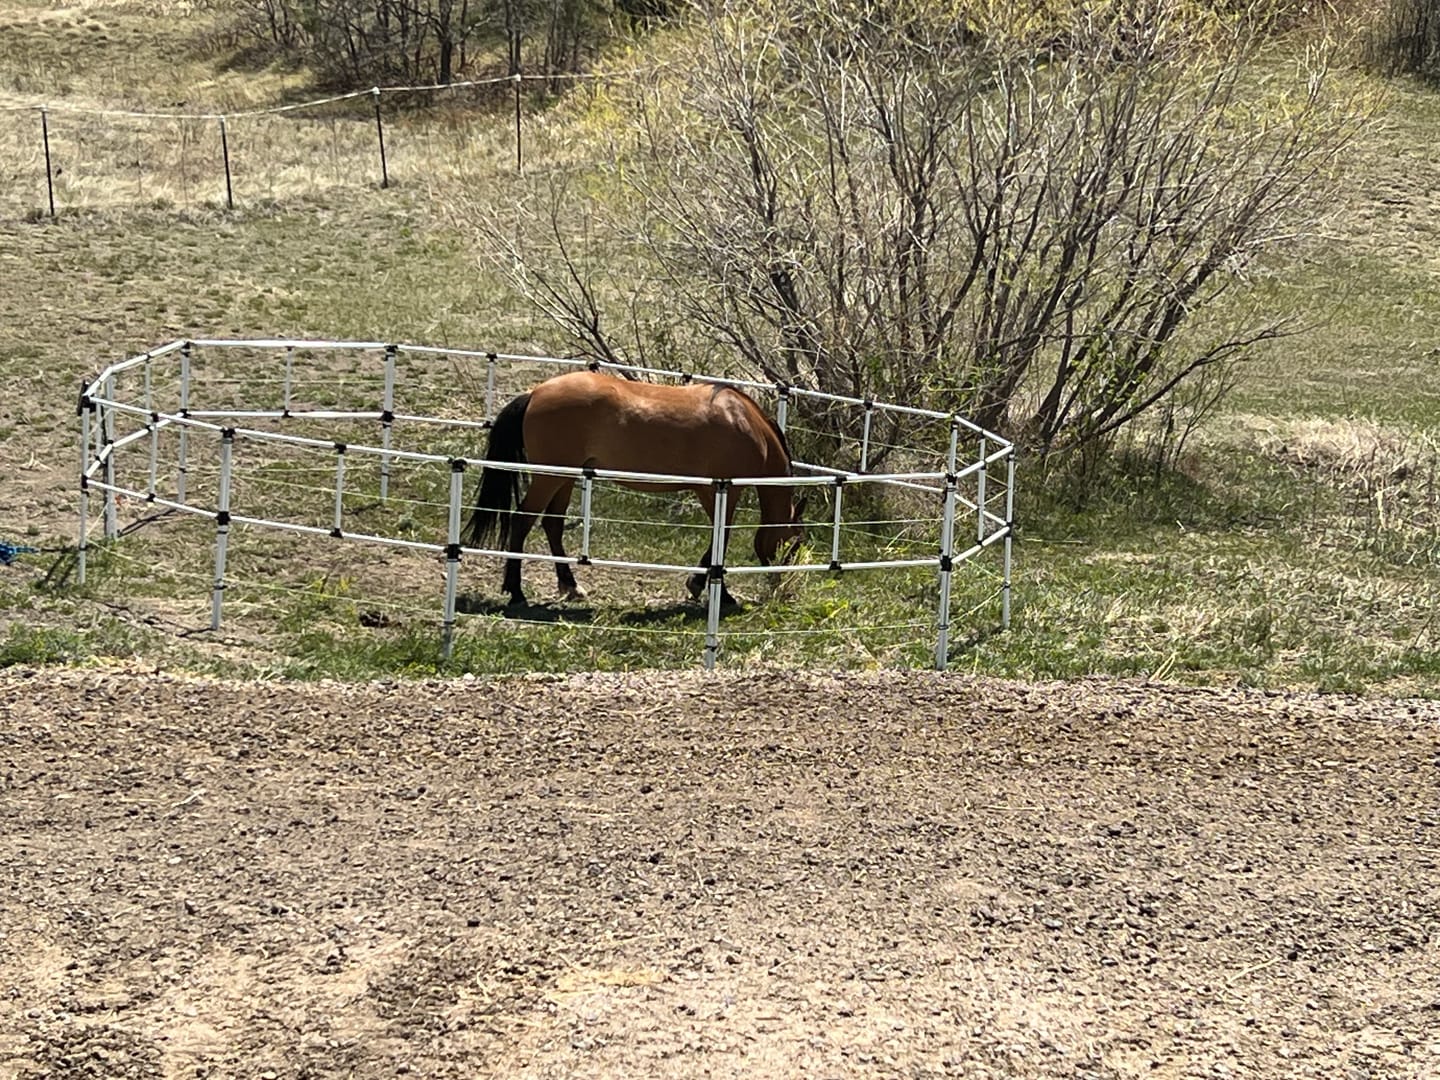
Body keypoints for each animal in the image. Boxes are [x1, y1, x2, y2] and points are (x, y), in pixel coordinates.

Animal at [464, 369, 804, 607]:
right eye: (794, 544)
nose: (782, 587)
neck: (743, 421)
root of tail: (534, 393)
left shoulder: (710, 491)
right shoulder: (723, 490)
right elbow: (723, 535)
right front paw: (713, 592)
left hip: (565, 477)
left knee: (552, 524)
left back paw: (571, 586)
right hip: (550, 477)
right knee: (522, 521)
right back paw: (517, 592)